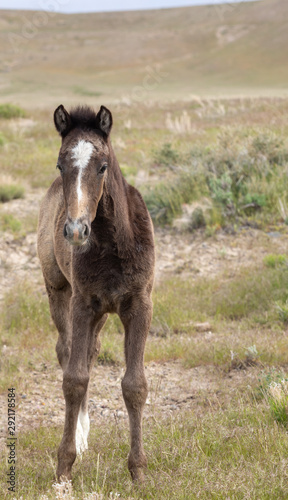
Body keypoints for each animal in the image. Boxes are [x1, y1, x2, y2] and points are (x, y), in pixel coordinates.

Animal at [37, 103, 155, 482]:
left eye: (102, 166)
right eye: (61, 164)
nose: (76, 230)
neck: (112, 248)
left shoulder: (139, 305)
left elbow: (134, 385)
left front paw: (138, 472)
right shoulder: (82, 303)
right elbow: (74, 379)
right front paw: (64, 466)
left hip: (104, 312)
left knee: (92, 351)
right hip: (58, 290)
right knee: (67, 351)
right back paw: (79, 436)